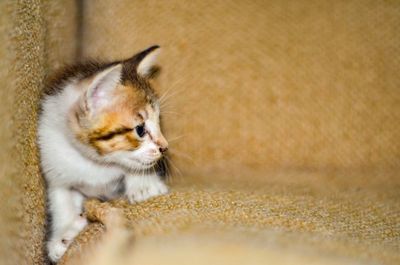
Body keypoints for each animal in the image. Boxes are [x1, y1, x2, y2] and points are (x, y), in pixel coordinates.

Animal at [37, 44, 169, 260]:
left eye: (159, 122)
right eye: (140, 129)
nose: (164, 147)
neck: (96, 163)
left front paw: (144, 185)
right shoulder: (52, 159)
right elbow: (60, 197)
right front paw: (63, 233)